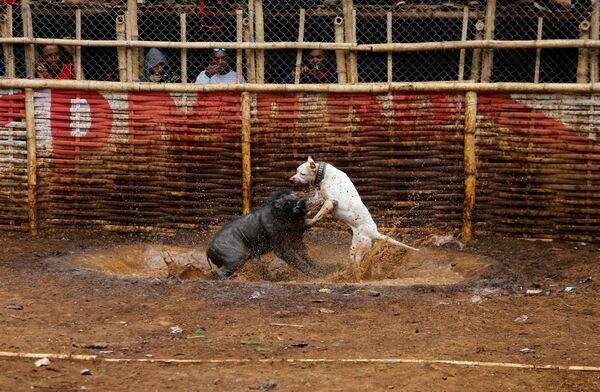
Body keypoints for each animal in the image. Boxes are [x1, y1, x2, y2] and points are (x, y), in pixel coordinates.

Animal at [290, 155, 418, 278]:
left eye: (302, 173)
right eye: (296, 171)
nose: (291, 180)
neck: (324, 174)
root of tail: (374, 232)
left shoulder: (330, 202)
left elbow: (318, 215)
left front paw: (309, 221)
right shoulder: (321, 197)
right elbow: (312, 204)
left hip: (359, 247)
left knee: (357, 265)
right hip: (357, 247)